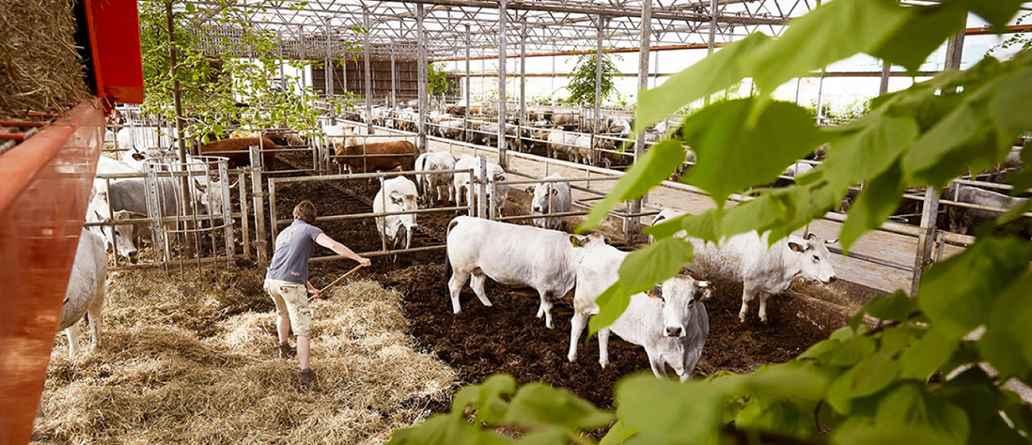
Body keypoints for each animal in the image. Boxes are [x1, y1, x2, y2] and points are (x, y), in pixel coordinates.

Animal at [565, 242, 710, 382]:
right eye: (663, 299)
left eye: (691, 301)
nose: (673, 330)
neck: (679, 344)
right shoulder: (654, 355)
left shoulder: (694, 356)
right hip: (582, 305)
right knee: (577, 326)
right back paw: (572, 357)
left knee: (603, 332)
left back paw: (604, 362)